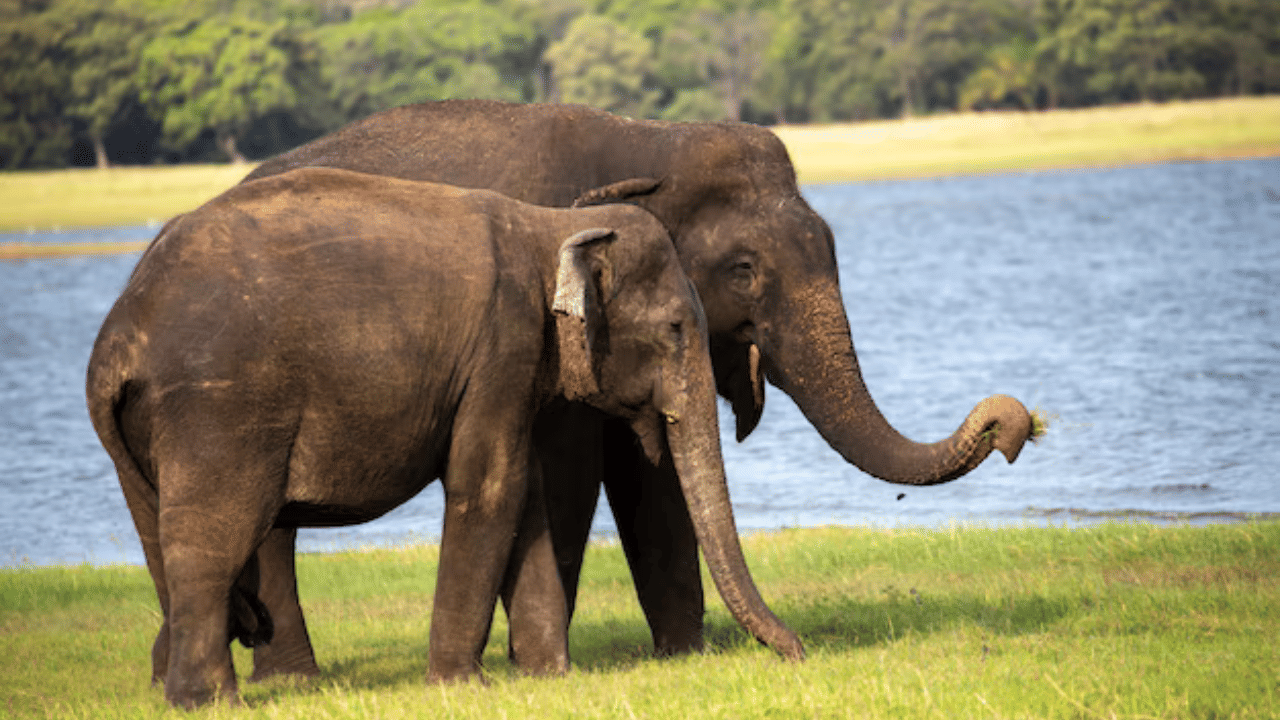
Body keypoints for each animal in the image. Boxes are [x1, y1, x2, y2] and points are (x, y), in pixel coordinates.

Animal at [86, 167, 804, 708]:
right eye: (678, 328)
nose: (796, 652)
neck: (548, 225)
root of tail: (118, 336)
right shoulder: (502, 343)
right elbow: (489, 486)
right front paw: (463, 685)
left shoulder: (513, 368)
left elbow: (526, 496)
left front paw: (549, 676)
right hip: (219, 407)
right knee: (213, 542)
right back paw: (209, 701)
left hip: (143, 434)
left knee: (159, 537)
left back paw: (171, 687)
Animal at [237, 99, 1035, 678]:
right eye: (744, 270)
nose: (1012, 424)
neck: (648, 143)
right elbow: (568, 471)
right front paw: (537, 662)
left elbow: (650, 471)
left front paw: (683, 654)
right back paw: (293, 679)